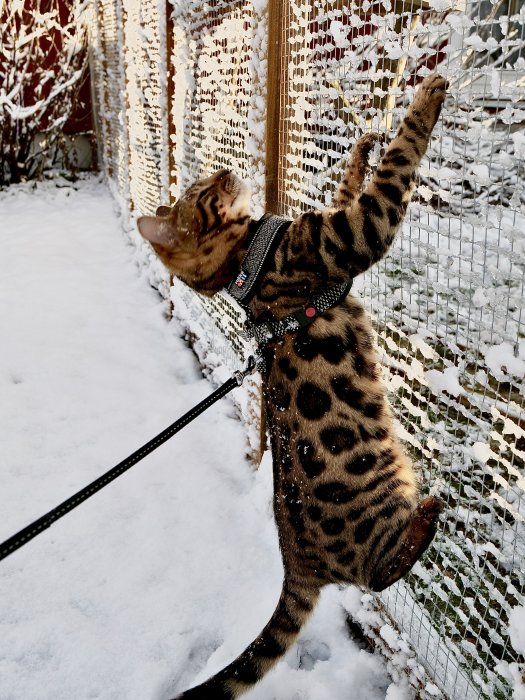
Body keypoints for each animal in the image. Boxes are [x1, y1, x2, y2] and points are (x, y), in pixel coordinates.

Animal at [136, 74, 446, 696]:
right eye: (203, 193)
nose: (223, 171)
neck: (247, 263)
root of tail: (295, 562)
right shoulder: (348, 236)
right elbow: (395, 169)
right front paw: (428, 94)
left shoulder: (332, 224)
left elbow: (349, 185)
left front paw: (361, 147)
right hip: (376, 505)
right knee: (381, 573)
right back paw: (426, 518)